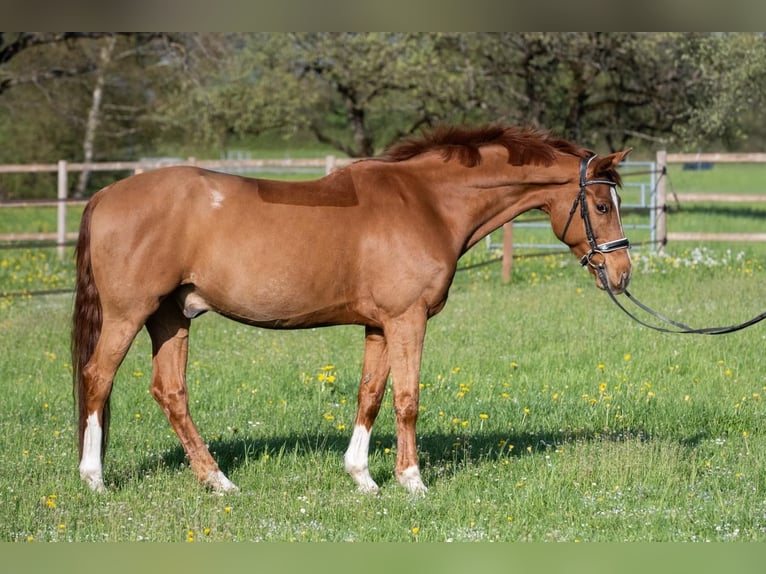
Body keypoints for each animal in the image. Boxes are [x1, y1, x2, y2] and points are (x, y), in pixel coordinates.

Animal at [71, 125, 632, 495]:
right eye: (602, 206)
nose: (623, 273)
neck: (426, 202)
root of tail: (105, 193)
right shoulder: (407, 320)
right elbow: (407, 399)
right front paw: (412, 482)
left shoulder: (379, 326)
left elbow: (371, 395)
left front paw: (363, 478)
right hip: (129, 314)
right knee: (98, 377)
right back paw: (95, 480)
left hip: (171, 318)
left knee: (170, 392)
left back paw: (218, 481)